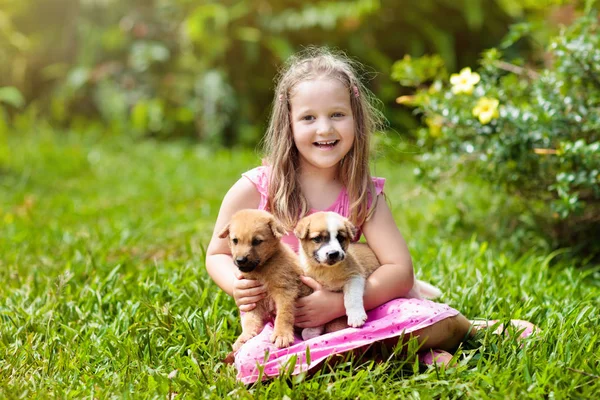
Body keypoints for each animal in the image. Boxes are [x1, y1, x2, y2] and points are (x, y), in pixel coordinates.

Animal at [220, 208, 314, 352]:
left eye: (256, 241)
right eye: (235, 240)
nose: (240, 260)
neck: (263, 269)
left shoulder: (285, 290)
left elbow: (284, 315)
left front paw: (282, 335)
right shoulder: (253, 297)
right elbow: (250, 319)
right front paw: (245, 336)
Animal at [294, 211, 440, 340]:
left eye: (340, 238)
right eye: (317, 239)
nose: (333, 253)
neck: (325, 270)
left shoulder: (355, 277)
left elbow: (352, 298)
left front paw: (356, 316)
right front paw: (312, 330)